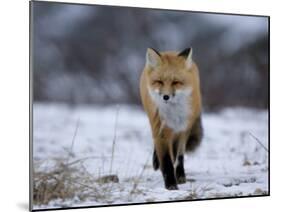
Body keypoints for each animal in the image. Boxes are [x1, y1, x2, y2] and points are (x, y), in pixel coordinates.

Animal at [139, 48, 201, 190]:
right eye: (159, 81)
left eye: (176, 82)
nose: (166, 97)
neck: (173, 113)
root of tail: (170, 51)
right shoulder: (160, 127)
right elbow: (166, 160)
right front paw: (171, 184)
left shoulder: (183, 128)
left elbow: (178, 156)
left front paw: (177, 177)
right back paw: (156, 161)